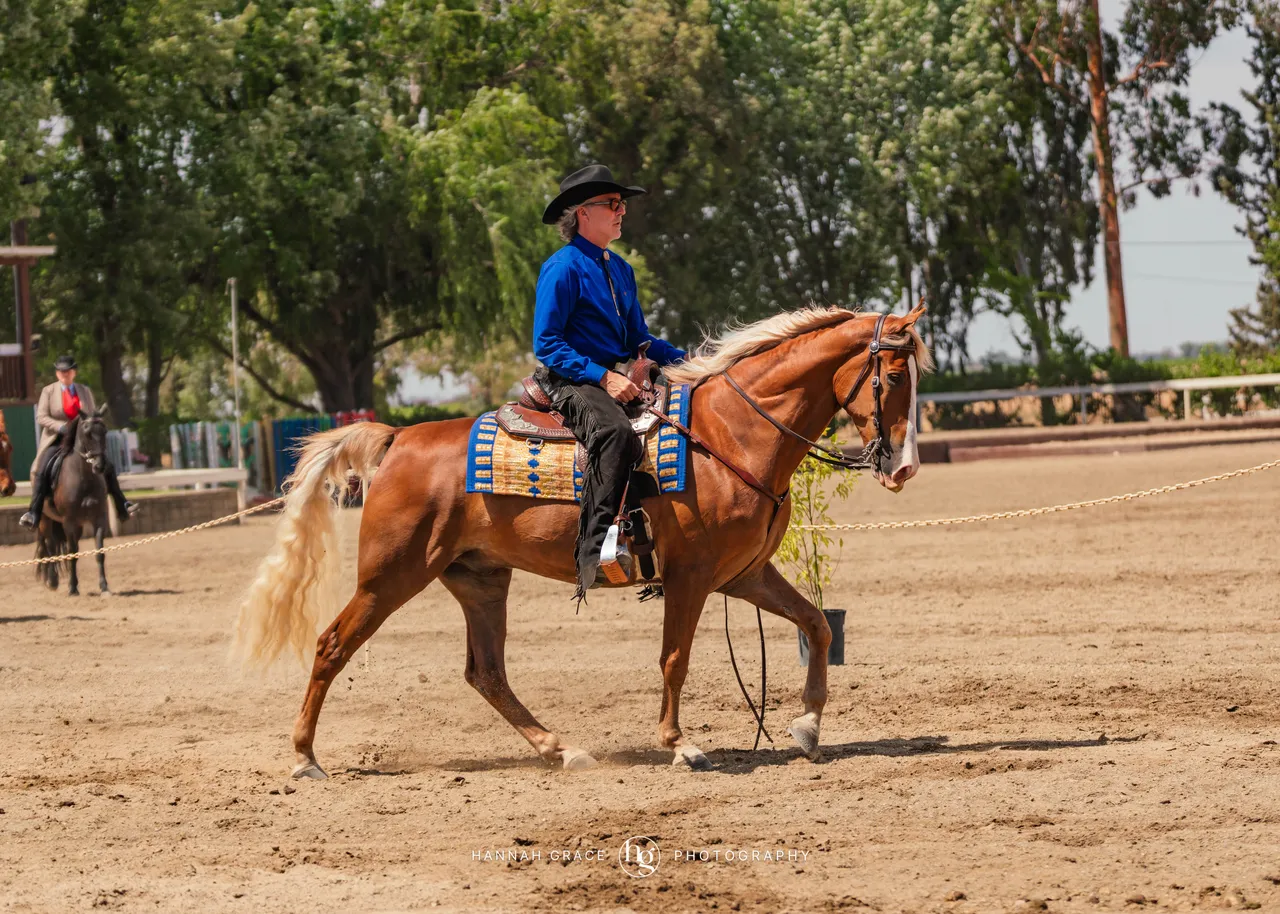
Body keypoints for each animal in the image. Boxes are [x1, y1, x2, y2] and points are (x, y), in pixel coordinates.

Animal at [34, 413, 113, 597]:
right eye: (87, 433)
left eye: (104, 431)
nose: (100, 466)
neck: (83, 477)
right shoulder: (69, 522)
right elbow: (72, 553)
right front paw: (72, 588)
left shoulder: (99, 519)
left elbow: (99, 552)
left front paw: (104, 587)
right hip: (45, 519)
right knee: (49, 545)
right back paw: (52, 580)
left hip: (77, 525)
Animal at [236, 304, 931, 778]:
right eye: (895, 376)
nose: (903, 468)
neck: (727, 435)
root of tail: (398, 438)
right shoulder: (691, 575)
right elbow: (674, 659)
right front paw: (680, 745)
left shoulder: (745, 573)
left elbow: (815, 626)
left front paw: (808, 726)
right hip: (390, 576)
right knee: (331, 646)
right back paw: (304, 758)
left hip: (479, 579)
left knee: (486, 671)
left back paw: (560, 748)